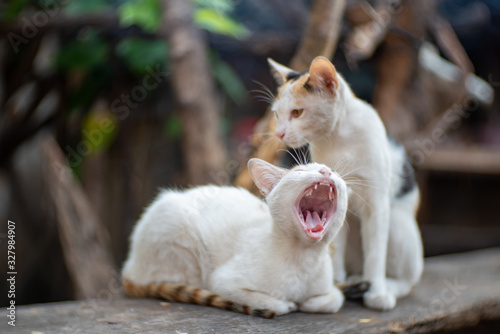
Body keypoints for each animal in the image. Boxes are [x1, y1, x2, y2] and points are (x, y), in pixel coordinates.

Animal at [120, 159, 348, 318]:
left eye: (334, 172)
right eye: (300, 171)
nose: (326, 171)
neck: (303, 258)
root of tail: (129, 267)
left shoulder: (329, 289)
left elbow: (333, 300)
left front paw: (308, 302)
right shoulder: (222, 282)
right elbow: (270, 302)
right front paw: (289, 304)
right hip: (180, 234)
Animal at [268, 55, 424, 310]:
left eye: (297, 112)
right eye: (276, 115)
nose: (279, 134)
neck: (338, 139)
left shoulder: (376, 204)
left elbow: (375, 253)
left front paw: (377, 292)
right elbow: (335, 246)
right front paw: (334, 283)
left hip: (397, 224)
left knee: (408, 280)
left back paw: (384, 286)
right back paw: (352, 280)